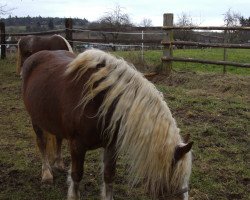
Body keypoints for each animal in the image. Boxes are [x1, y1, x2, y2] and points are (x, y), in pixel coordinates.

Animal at [22, 48, 193, 200]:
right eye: (174, 178)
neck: (100, 100)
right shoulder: (77, 145)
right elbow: (77, 176)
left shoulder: (112, 145)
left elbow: (109, 176)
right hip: (35, 120)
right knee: (42, 143)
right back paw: (46, 174)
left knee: (58, 138)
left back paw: (58, 163)